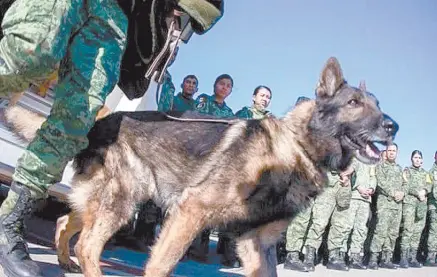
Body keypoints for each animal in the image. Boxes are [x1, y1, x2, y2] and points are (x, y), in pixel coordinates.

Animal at [3, 57, 396, 274]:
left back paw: (65, 261)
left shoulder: (256, 244)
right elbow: (161, 264)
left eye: (378, 105)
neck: (297, 147)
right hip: (123, 201)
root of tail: (98, 123)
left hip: (107, 200)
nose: (393, 126)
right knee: (87, 244)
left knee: (66, 221)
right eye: (354, 103)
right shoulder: (191, 212)